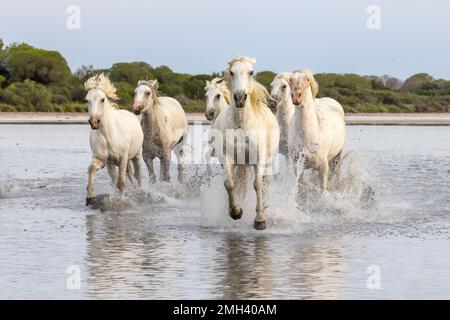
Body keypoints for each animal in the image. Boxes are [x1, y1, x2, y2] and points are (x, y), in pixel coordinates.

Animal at [83, 74, 142, 205]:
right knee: (128, 176)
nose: (94, 122)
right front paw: (90, 198)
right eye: (86, 100)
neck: (108, 135)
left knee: (137, 177)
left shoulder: (123, 157)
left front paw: (120, 201)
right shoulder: (104, 160)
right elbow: (92, 169)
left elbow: (121, 182)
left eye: (102, 99)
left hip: (136, 156)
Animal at [213, 55, 280, 230]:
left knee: (265, 184)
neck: (242, 126)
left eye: (251, 72)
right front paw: (236, 212)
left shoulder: (259, 159)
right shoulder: (229, 158)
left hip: (267, 162)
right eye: (231, 72)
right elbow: (229, 183)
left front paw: (260, 220)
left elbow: (257, 184)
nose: (240, 98)